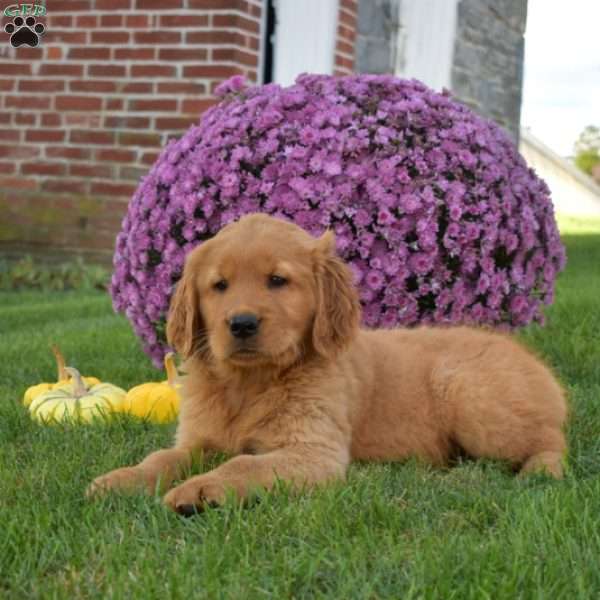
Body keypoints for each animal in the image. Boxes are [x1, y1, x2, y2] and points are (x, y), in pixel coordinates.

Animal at [88, 213, 568, 512]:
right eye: (218, 285)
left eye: (277, 280)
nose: (241, 323)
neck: (250, 384)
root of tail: (528, 356)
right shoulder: (197, 440)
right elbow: (162, 458)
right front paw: (121, 479)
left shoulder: (314, 451)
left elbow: (244, 463)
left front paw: (202, 489)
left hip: (471, 397)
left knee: (550, 438)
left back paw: (542, 471)